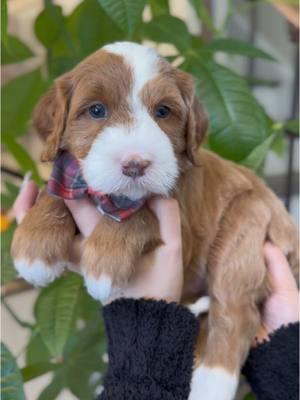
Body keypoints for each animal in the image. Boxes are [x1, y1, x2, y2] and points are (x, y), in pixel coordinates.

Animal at [11, 41, 298, 400]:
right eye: (96, 111)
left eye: (163, 112)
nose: (135, 164)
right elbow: (57, 193)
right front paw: (33, 246)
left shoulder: (184, 224)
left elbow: (139, 212)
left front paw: (105, 264)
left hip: (244, 227)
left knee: (237, 314)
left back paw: (210, 385)